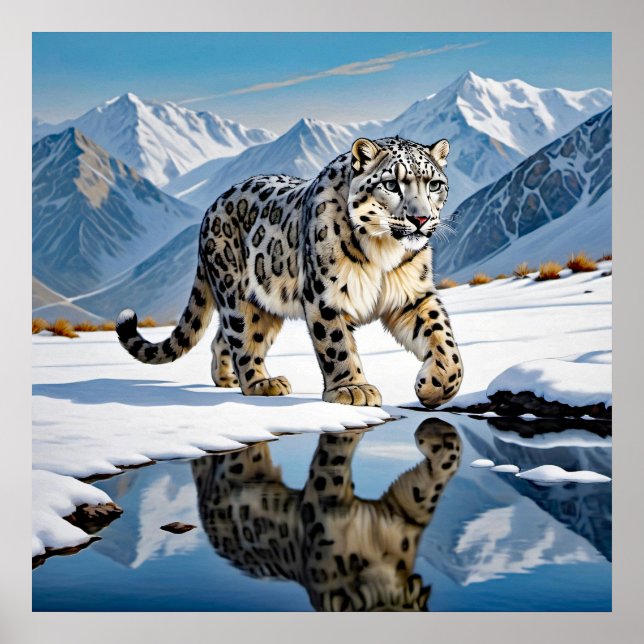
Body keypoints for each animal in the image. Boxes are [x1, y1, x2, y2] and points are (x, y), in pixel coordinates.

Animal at [116, 136, 463, 407]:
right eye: (391, 184)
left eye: (434, 185)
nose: (420, 219)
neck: (383, 252)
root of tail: (211, 208)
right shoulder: (325, 296)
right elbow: (336, 344)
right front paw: (352, 388)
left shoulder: (413, 295)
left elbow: (444, 339)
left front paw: (435, 386)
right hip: (238, 294)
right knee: (243, 339)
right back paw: (260, 383)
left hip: (265, 307)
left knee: (223, 339)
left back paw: (226, 378)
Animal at [191, 417, 462, 611]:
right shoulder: (328, 504)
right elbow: (335, 456)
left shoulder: (401, 519)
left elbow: (441, 472)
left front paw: (437, 432)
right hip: (235, 467)